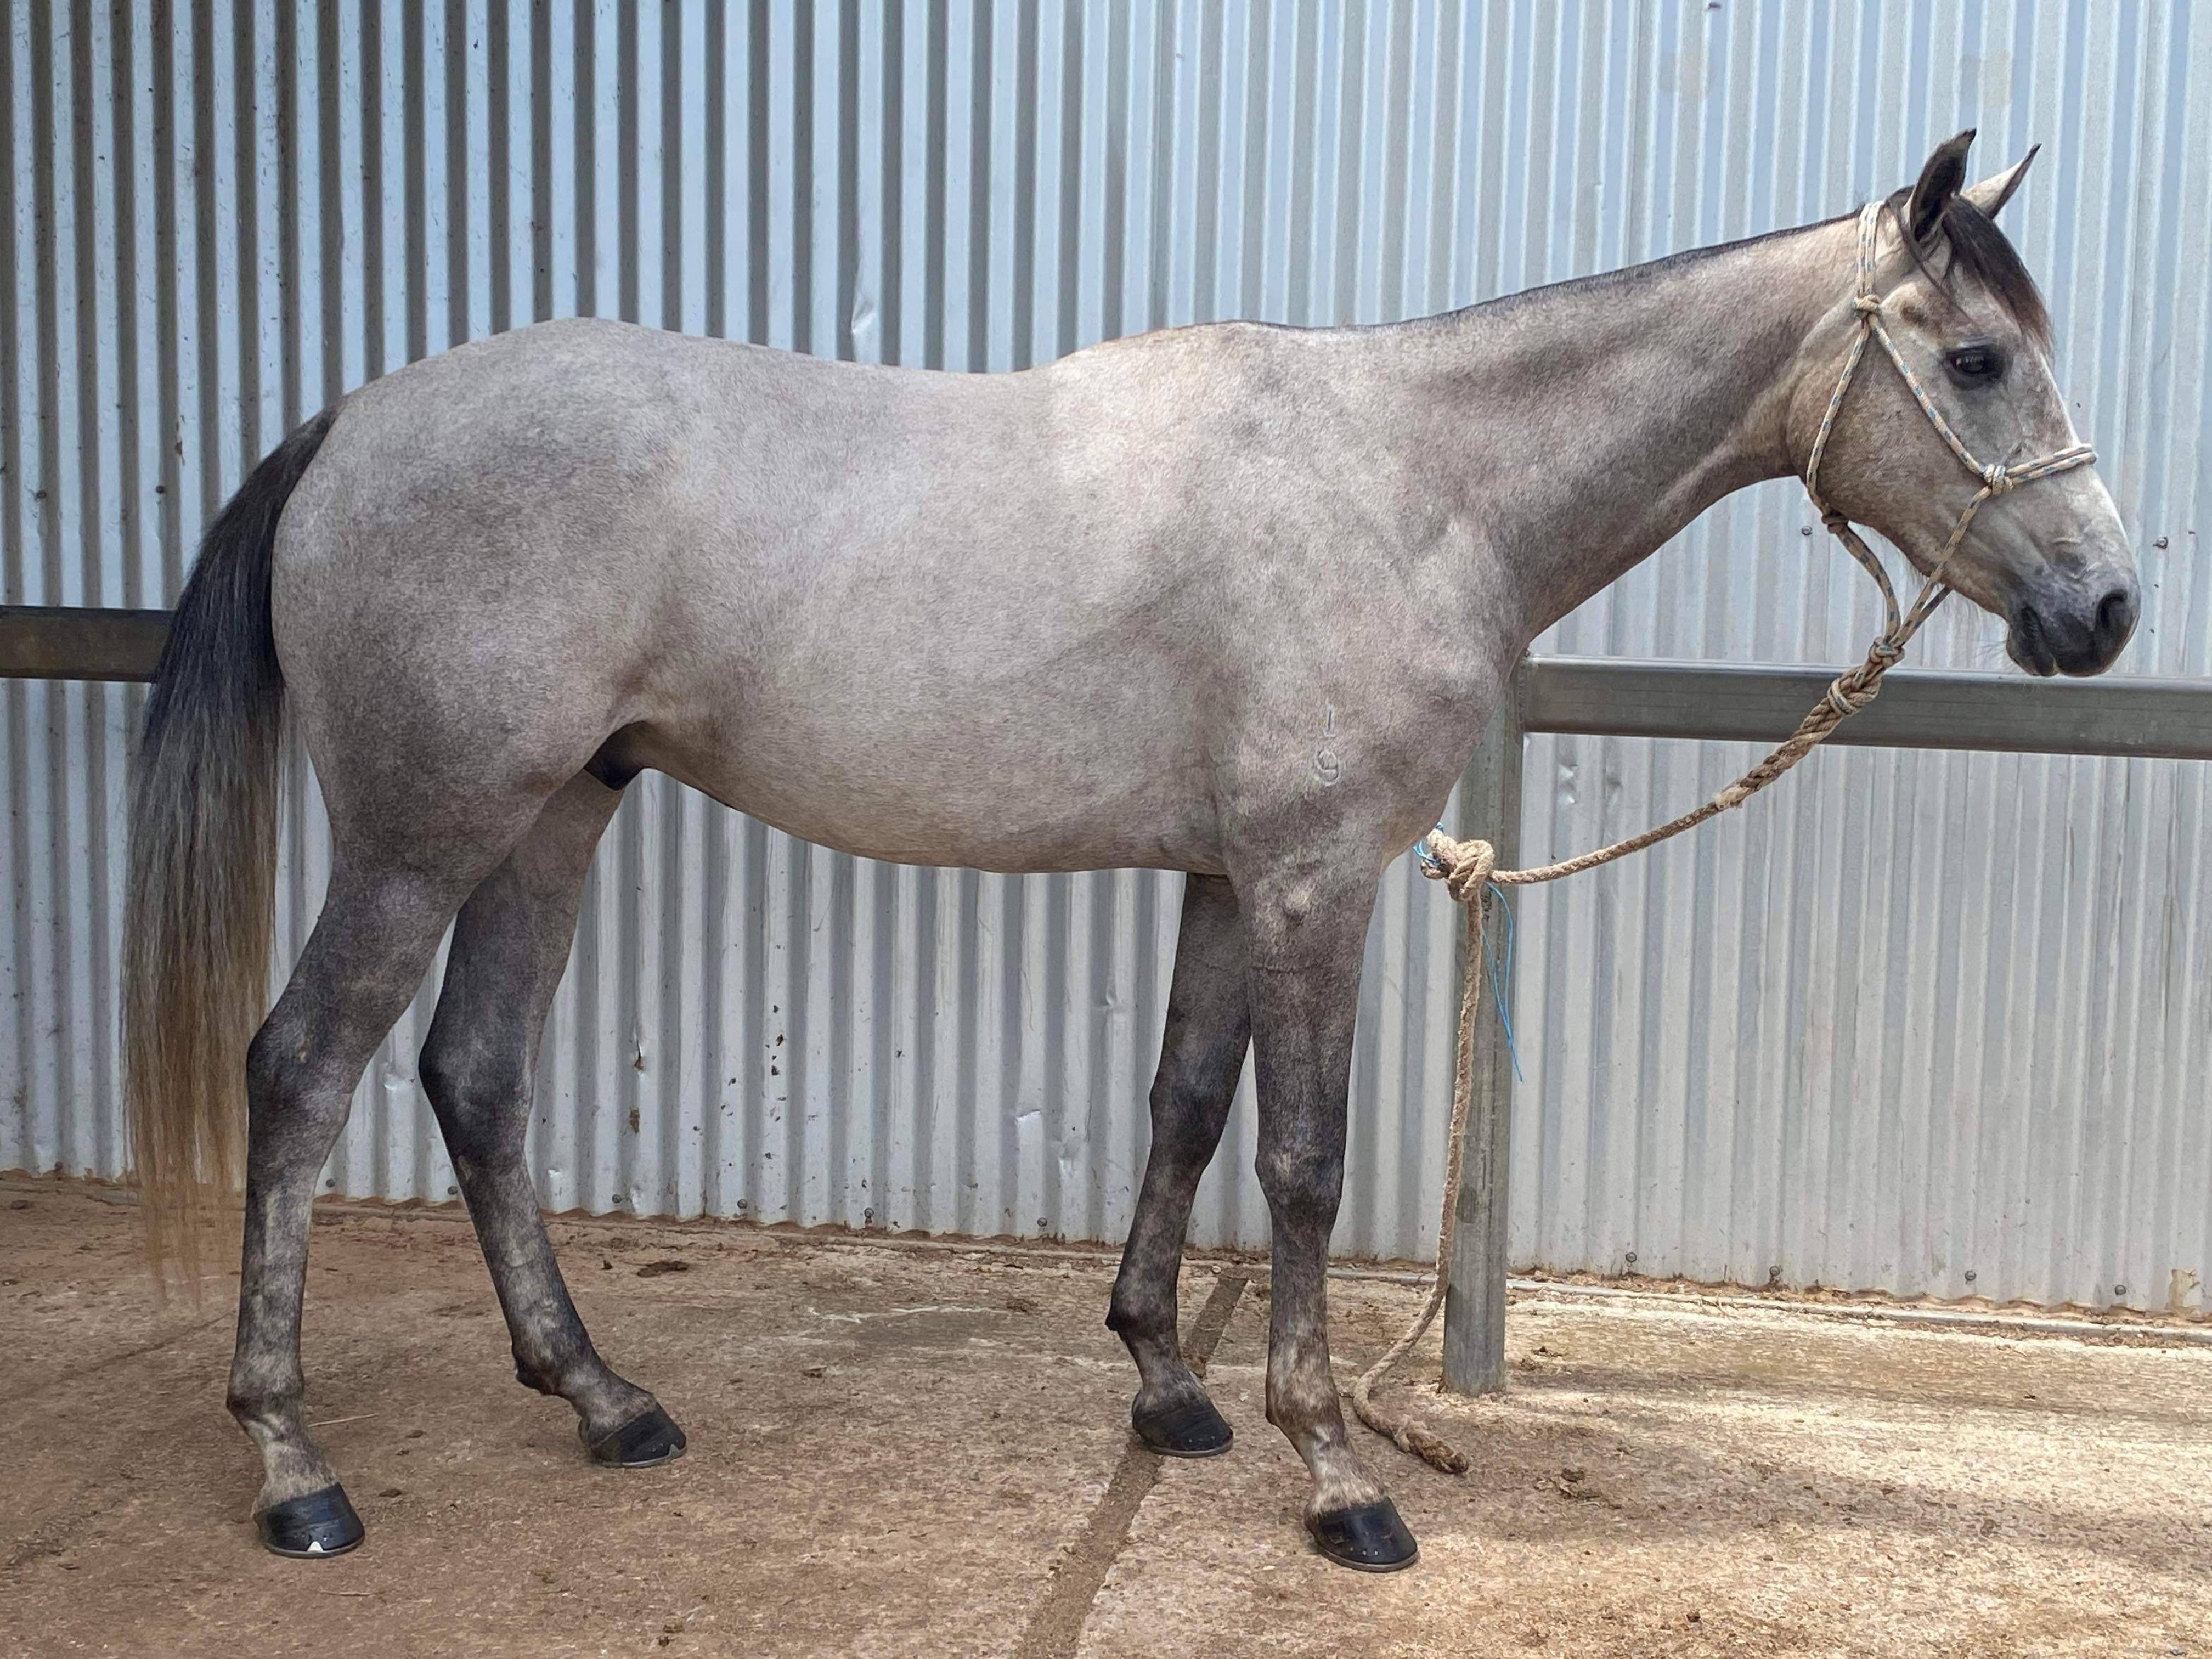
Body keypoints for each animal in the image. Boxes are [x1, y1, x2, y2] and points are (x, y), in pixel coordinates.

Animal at [124, 130, 2136, 1572]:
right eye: (1976, 360)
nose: (2108, 608)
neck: (1408, 484)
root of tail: (350, 426)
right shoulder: (1320, 881)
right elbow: (1305, 1162)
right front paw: (1338, 1474)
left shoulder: (1231, 880)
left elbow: (1182, 1102)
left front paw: (1167, 1385)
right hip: (424, 837)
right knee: (304, 1074)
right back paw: (297, 1466)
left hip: (556, 811)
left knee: (477, 1075)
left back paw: (605, 1399)